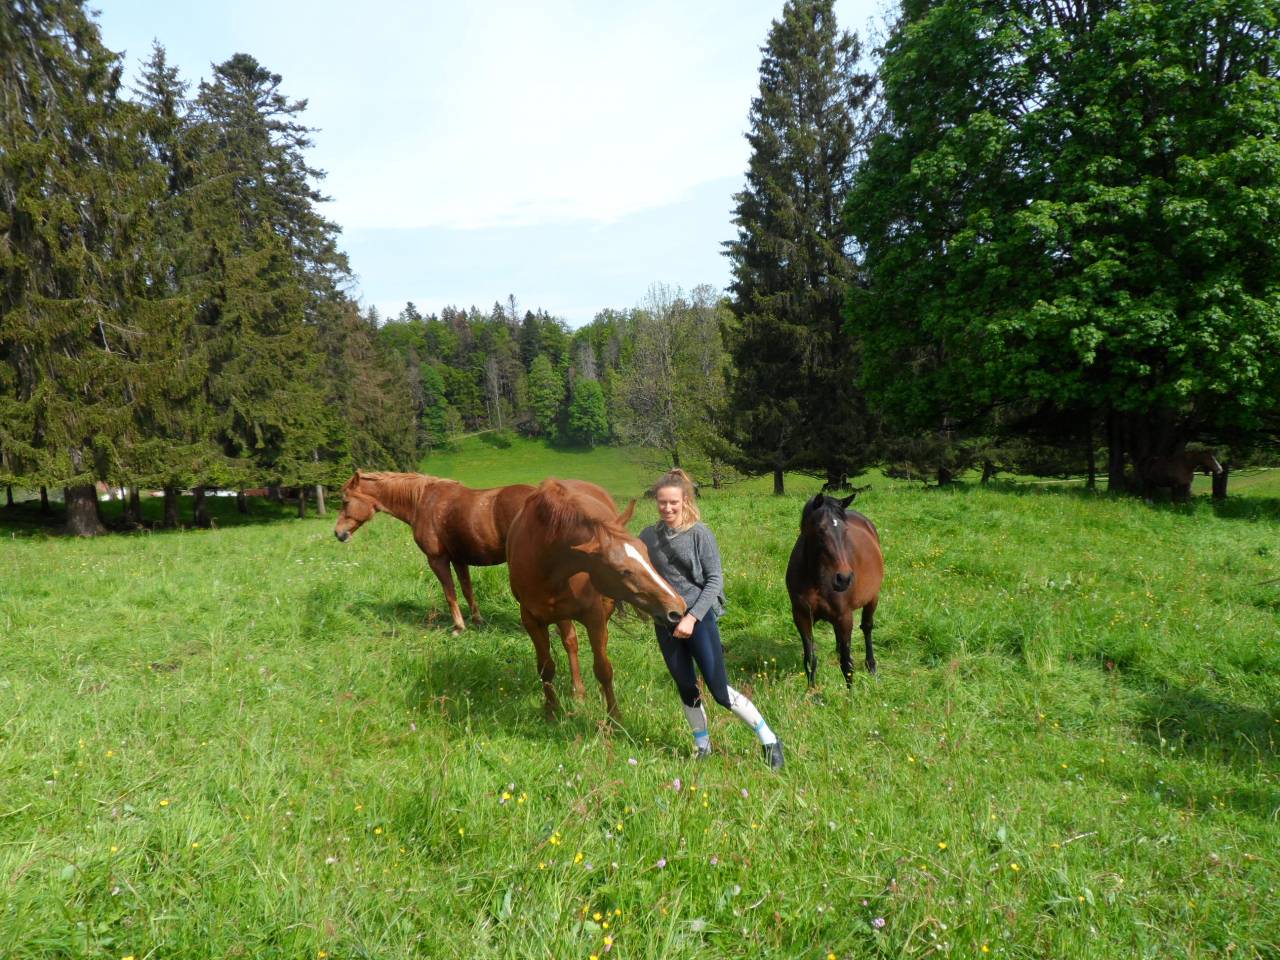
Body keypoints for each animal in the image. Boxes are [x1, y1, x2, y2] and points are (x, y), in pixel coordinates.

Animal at [334, 470, 535, 634]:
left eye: (345, 501)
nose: (338, 533)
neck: (421, 501)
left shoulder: (437, 560)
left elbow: (449, 593)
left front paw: (458, 627)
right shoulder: (459, 559)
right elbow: (467, 590)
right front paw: (477, 621)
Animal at [506, 478, 687, 720]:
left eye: (646, 552)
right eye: (623, 571)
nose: (677, 608)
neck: (544, 559)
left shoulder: (594, 617)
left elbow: (603, 668)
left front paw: (614, 717)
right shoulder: (531, 620)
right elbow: (546, 667)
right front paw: (551, 710)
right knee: (570, 642)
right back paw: (577, 691)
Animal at [785, 492, 885, 687]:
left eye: (845, 531)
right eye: (820, 529)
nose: (843, 578)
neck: (816, 578)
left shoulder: (844, 616)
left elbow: (847, 665)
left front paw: (851, 695)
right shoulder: (801, 616)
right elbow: (810, 659)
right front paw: (812, 691)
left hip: (872, 598)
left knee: (867, 627)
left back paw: (871, 667)